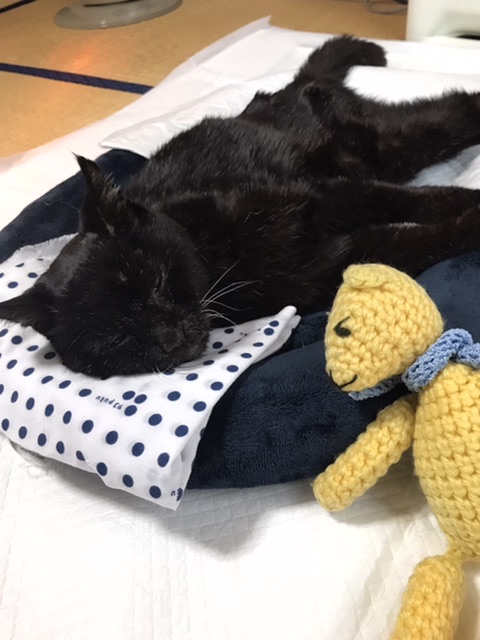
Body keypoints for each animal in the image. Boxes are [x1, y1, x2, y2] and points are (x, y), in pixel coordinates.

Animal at [2, 35, 480, 379]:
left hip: (384, 144)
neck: (221, 261)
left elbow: (410, 200)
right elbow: (410, 245)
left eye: (157, 281)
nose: (169, 337)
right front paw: (462, 228)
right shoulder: (324, 266)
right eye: (116, 340)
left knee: (454, 108)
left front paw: (471, 207)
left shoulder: (324, 198)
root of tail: (285, 90)